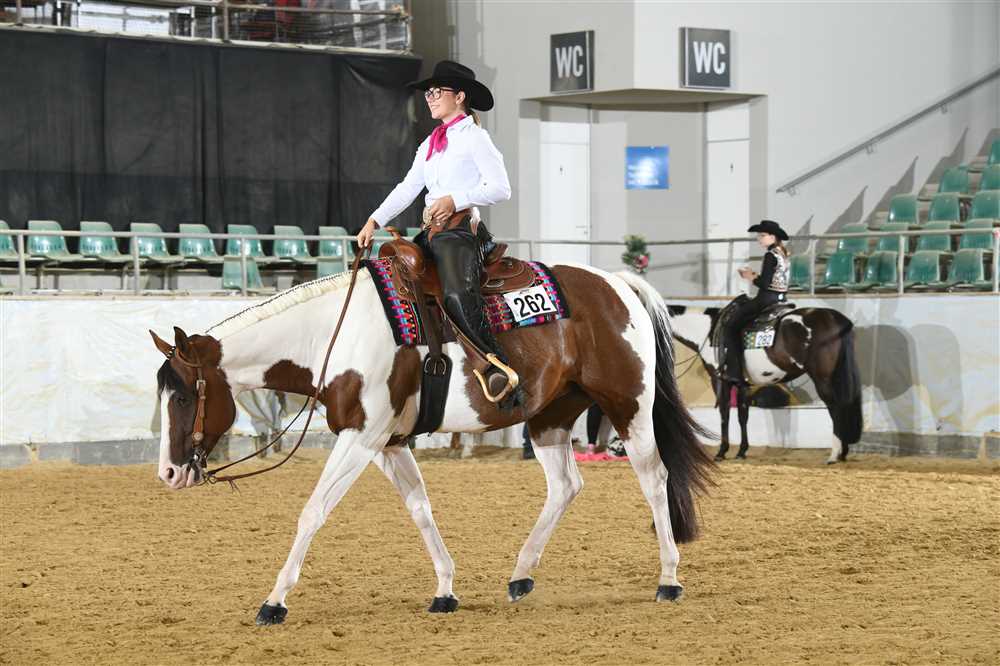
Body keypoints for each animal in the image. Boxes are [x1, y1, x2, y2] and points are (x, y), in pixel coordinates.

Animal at [148, 263, 714, 625]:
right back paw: (521, 575)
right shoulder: (388, 443)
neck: (333, 335)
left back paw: (668, 579)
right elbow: (420, 508)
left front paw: (274, 601)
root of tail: (617, 282)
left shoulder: (361, 437)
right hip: (550, 416)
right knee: (565, 486)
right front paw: (445, 590)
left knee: (654, 478)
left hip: (628, 404)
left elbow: (313, 511)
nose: (169, 474)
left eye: (183, 396)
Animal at [647, 294, 861, 464]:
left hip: (822, 378)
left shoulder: (721, 380)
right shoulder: (742, 383)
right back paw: (843, 453)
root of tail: (835, 318)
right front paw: (741, 451)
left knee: (835, 407)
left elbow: (725, 414)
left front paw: (722, 452)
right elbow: (743, 415)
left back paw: (834, 454)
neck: (707, 331)